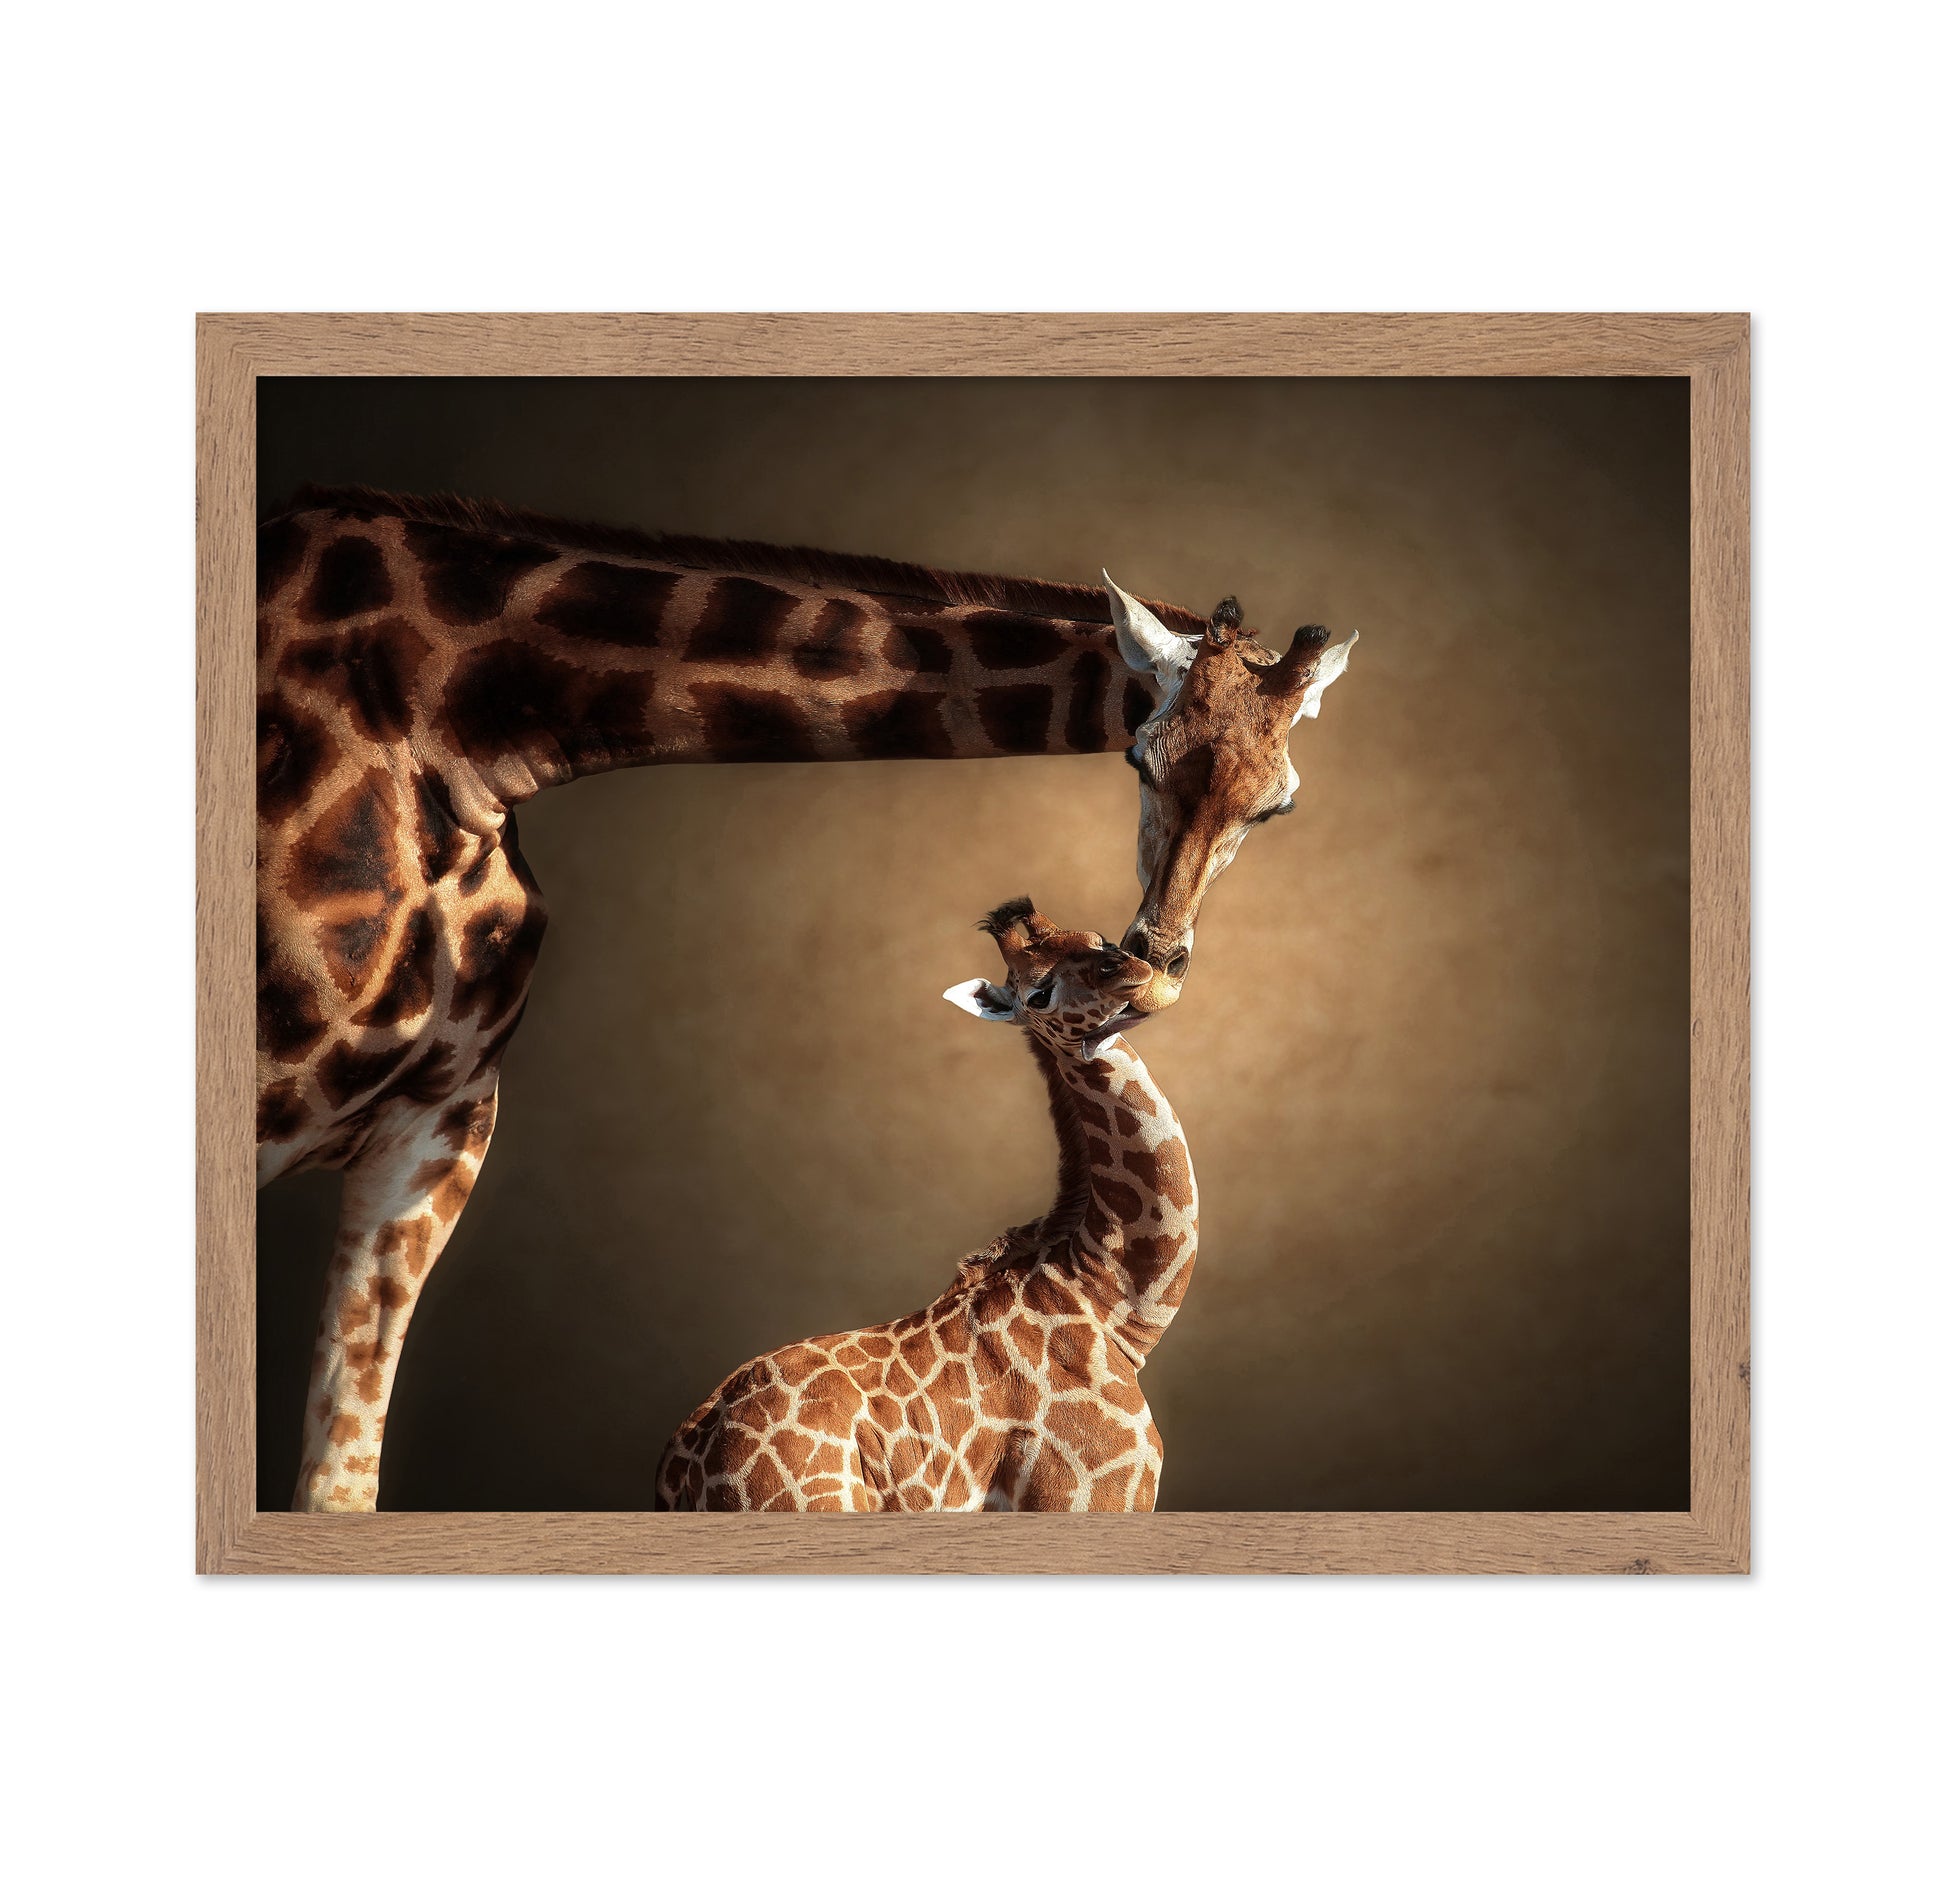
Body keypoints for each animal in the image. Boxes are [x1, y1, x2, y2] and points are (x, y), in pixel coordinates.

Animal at [655, 898, 1198, 1512]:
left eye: (1097, 938)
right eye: (1036, 994)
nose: (1133, 968)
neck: (1113, 1305)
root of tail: (678, 1471)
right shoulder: (1088, 1492)